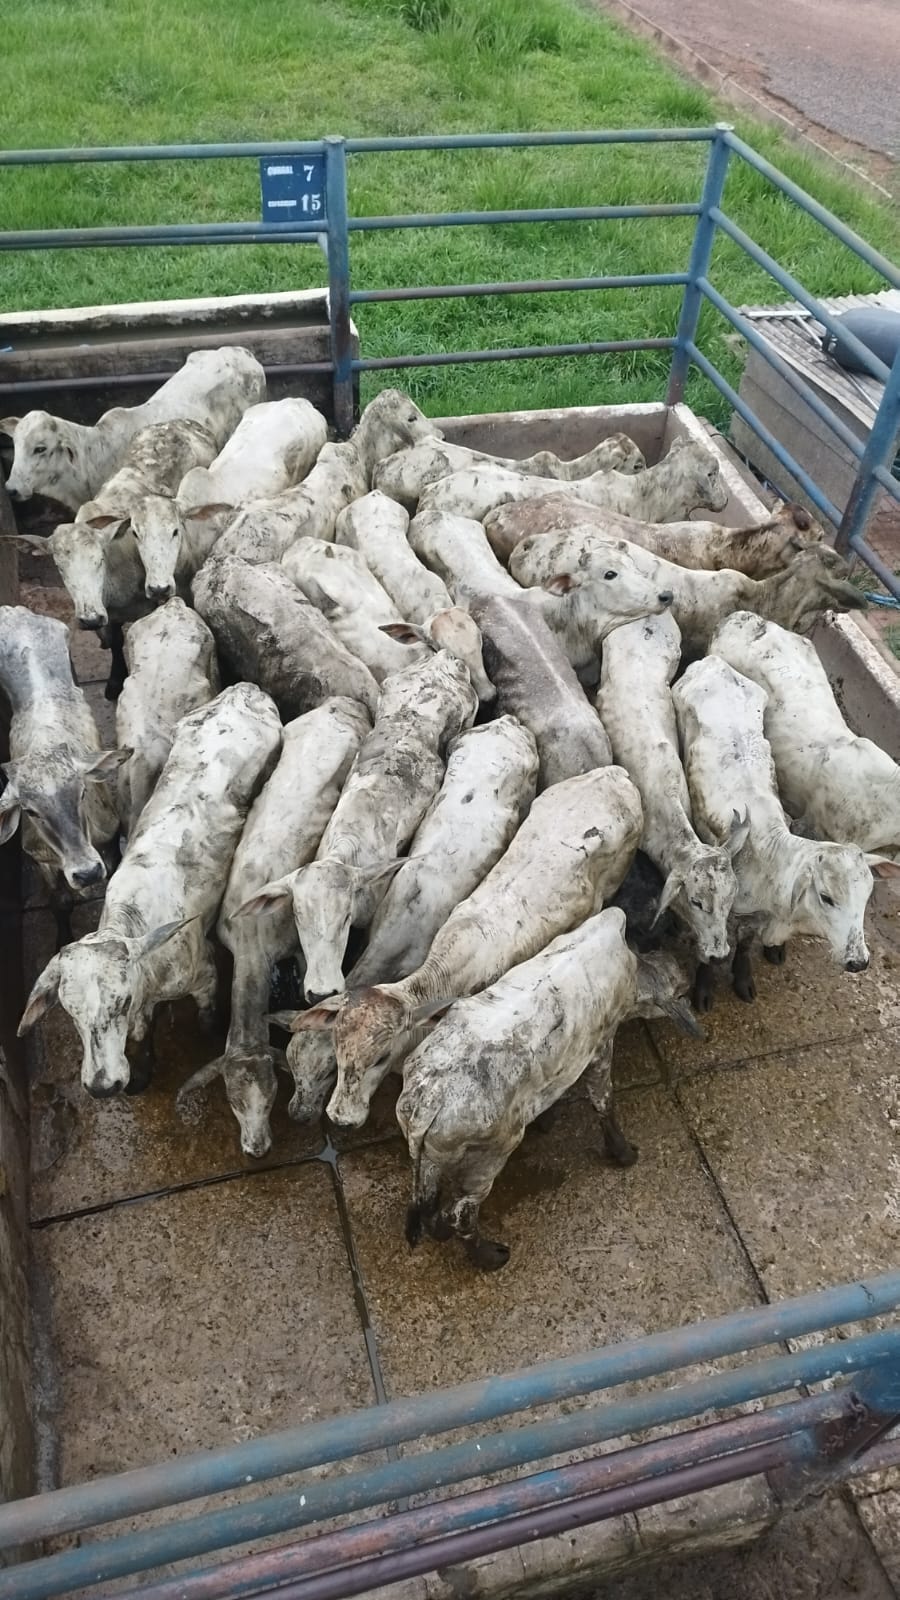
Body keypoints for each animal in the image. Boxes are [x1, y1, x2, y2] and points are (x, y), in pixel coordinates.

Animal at [0, 605, 127, 939]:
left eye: (82, 793)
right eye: (30, 811)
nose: (88, 873)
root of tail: (12, 611)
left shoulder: (111, 837)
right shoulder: (42, 859)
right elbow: (60, 901)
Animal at [17, 683, 282, 1097]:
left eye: (121, 1002)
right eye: (70, 1010)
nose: (102, 1086)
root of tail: (244, 690)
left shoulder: (204, 974)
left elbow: (207, 1019)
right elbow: (142, 1035)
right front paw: (141, 1072)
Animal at [179, 697, 371, 1156]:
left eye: (269, 1097)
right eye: (232, 1099)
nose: (256, 1150)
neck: (252, 943)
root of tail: (343, 702)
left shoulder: (297, 946)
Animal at [398, 908, 695, 1268]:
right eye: (680, 988)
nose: (692, 975)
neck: (633, 968)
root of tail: (428, 1101)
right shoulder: (601, 1045)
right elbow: (603, 1101)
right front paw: (624, 1153)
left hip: (432, 1155)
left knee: (429, 1205)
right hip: (493, 1154)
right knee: (462, 1214)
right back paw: (490, 1257)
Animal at [672, 655, 883, 1009]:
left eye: (867, 895)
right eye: (826, 897)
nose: (859, 962)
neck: (768, 853)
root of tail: (714, 662)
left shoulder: (756, 915)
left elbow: (745, 943)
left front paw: (744, 978)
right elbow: (711, 942)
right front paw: (703, 989)